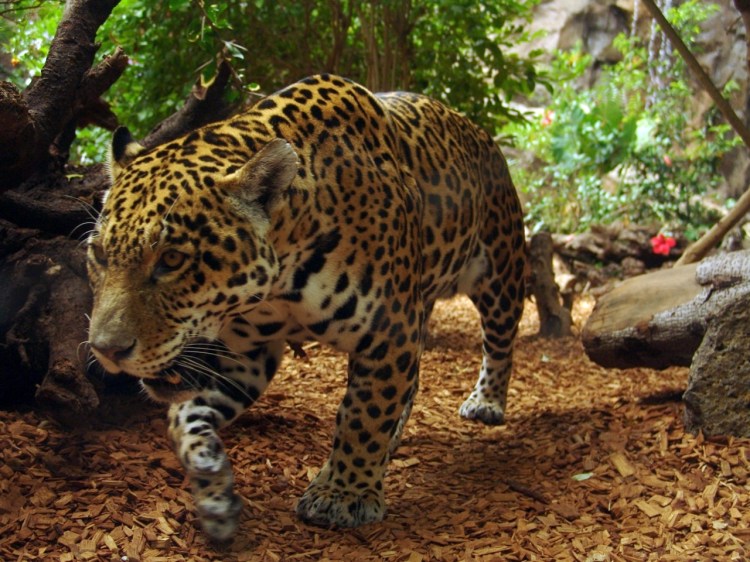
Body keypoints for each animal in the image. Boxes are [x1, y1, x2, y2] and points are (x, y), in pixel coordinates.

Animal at [87, 74, 526, 540]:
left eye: (171, 259)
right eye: (99, 254)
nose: (107, 350)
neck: (281, 278)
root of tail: (479, 132)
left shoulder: (389, 330)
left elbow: (365, 413)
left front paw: (343, 494)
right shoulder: (244, 354)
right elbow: (183, 418)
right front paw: (213, 489)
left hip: (500, 272)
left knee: (500, 341)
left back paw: (486, 402)